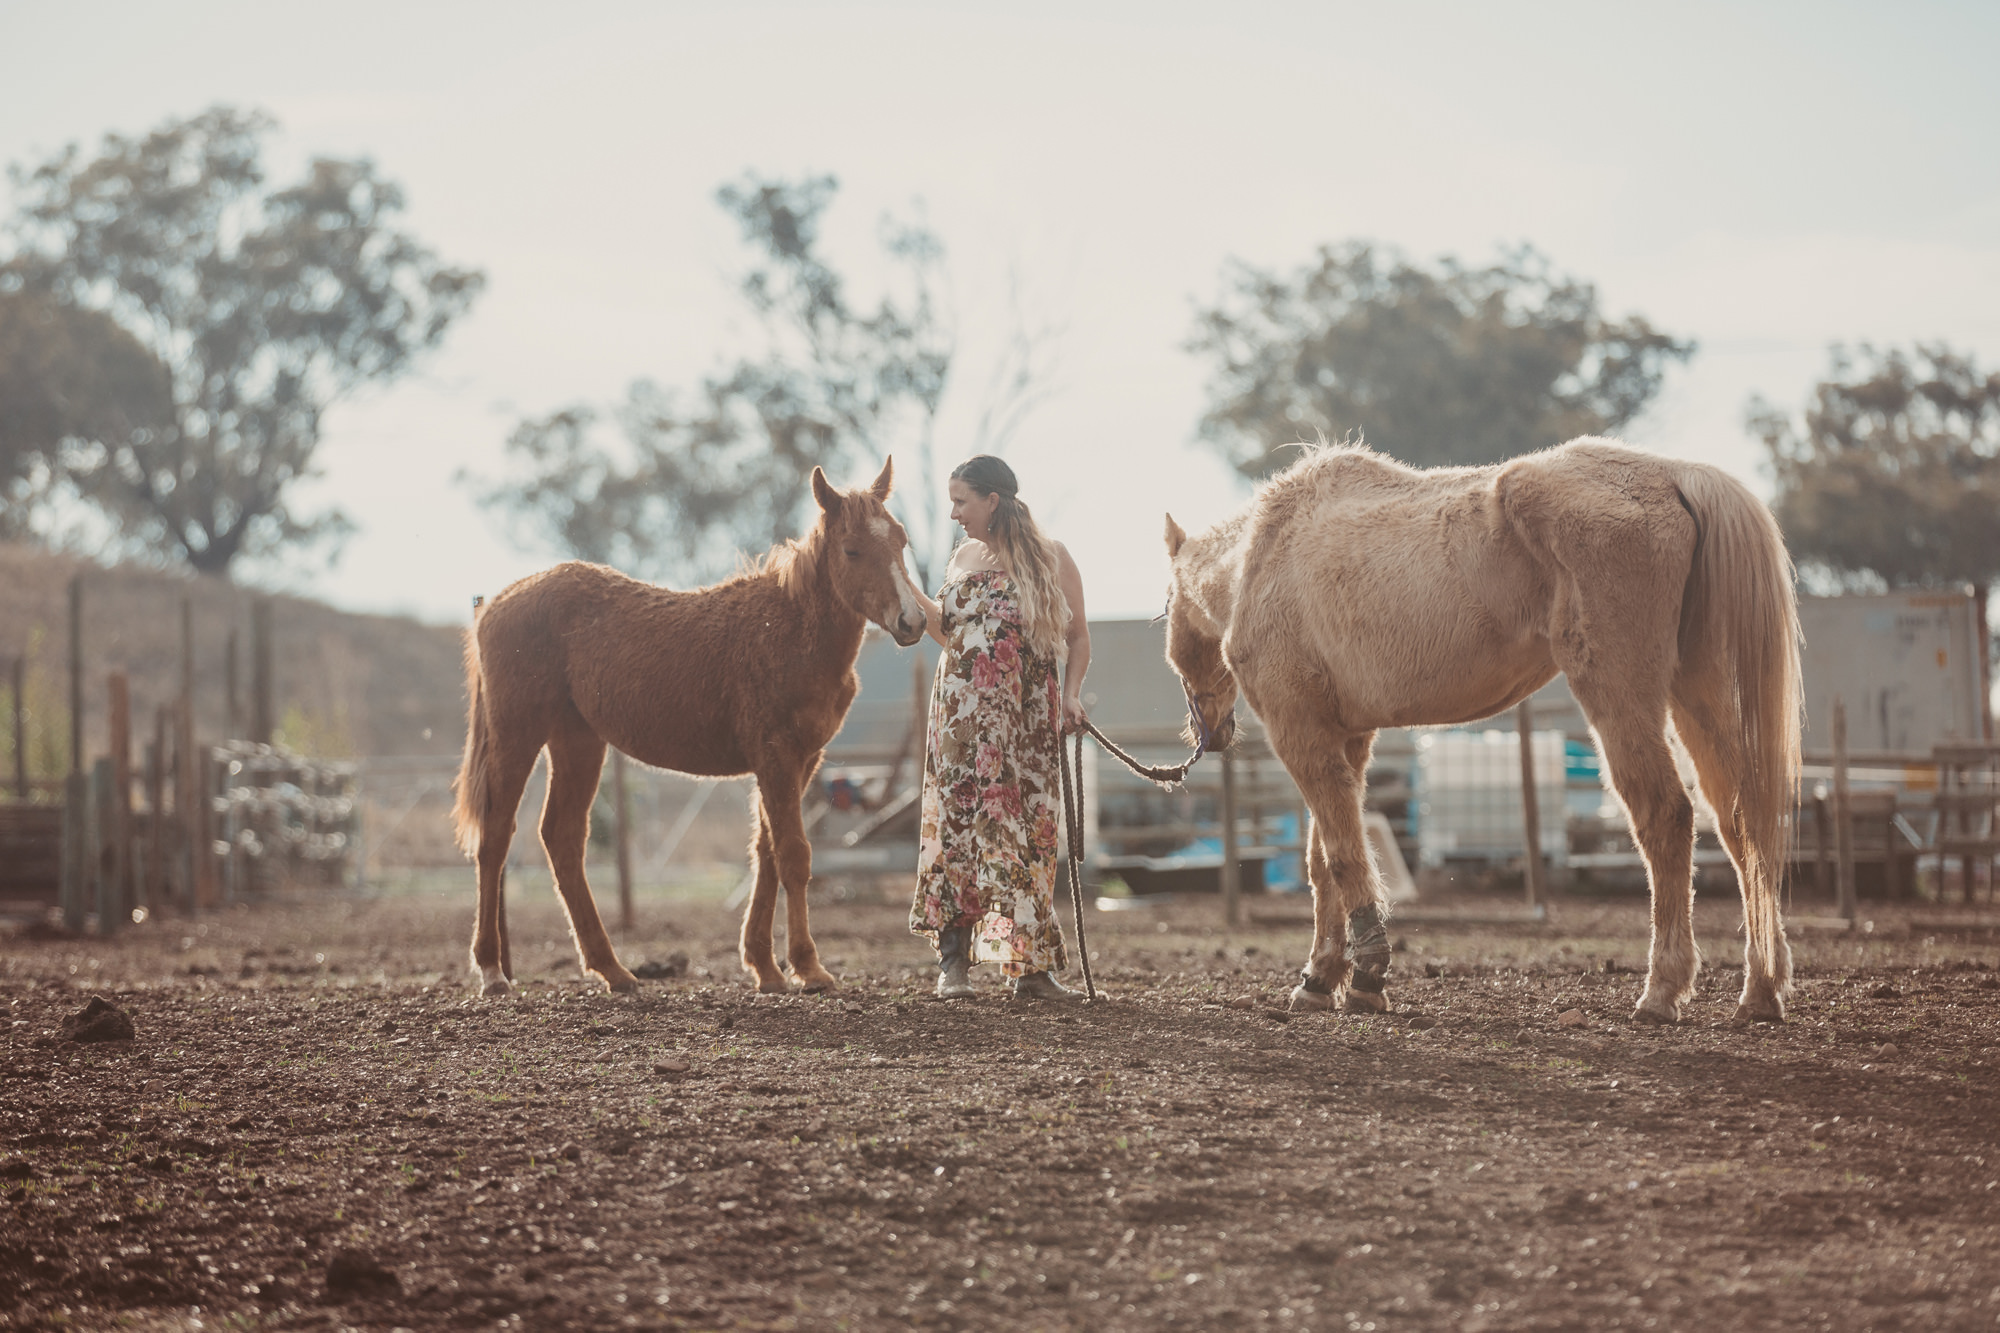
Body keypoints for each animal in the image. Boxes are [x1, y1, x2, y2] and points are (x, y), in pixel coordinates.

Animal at [451, 459, 927, 997]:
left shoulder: (802, 761)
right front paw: (807, 967)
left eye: (901, 540)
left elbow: (766, 852)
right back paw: (492, 970)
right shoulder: (776, 757)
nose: (913, 621)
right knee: (496, 837)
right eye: (852, 549)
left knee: (562, 838)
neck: (787, 630)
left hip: (578, 742)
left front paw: (764, 966)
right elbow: (793, 855)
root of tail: (496, 602)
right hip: (517, 736)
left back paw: (612, 969)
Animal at [1162, 437, 1801, 1024]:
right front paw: (1322, 977)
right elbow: (1324, 862)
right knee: (1743, 825)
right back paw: (1760, 990)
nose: (1207, 731)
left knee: (1666, 816)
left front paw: (1364, 975)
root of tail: (1671, 475)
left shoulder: (1299, 733)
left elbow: (1342, 857)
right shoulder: (1346, 737)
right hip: (1699, 698)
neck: (1259, 558)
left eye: (1166, 605)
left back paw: (1662, 990)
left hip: (1621, 699)